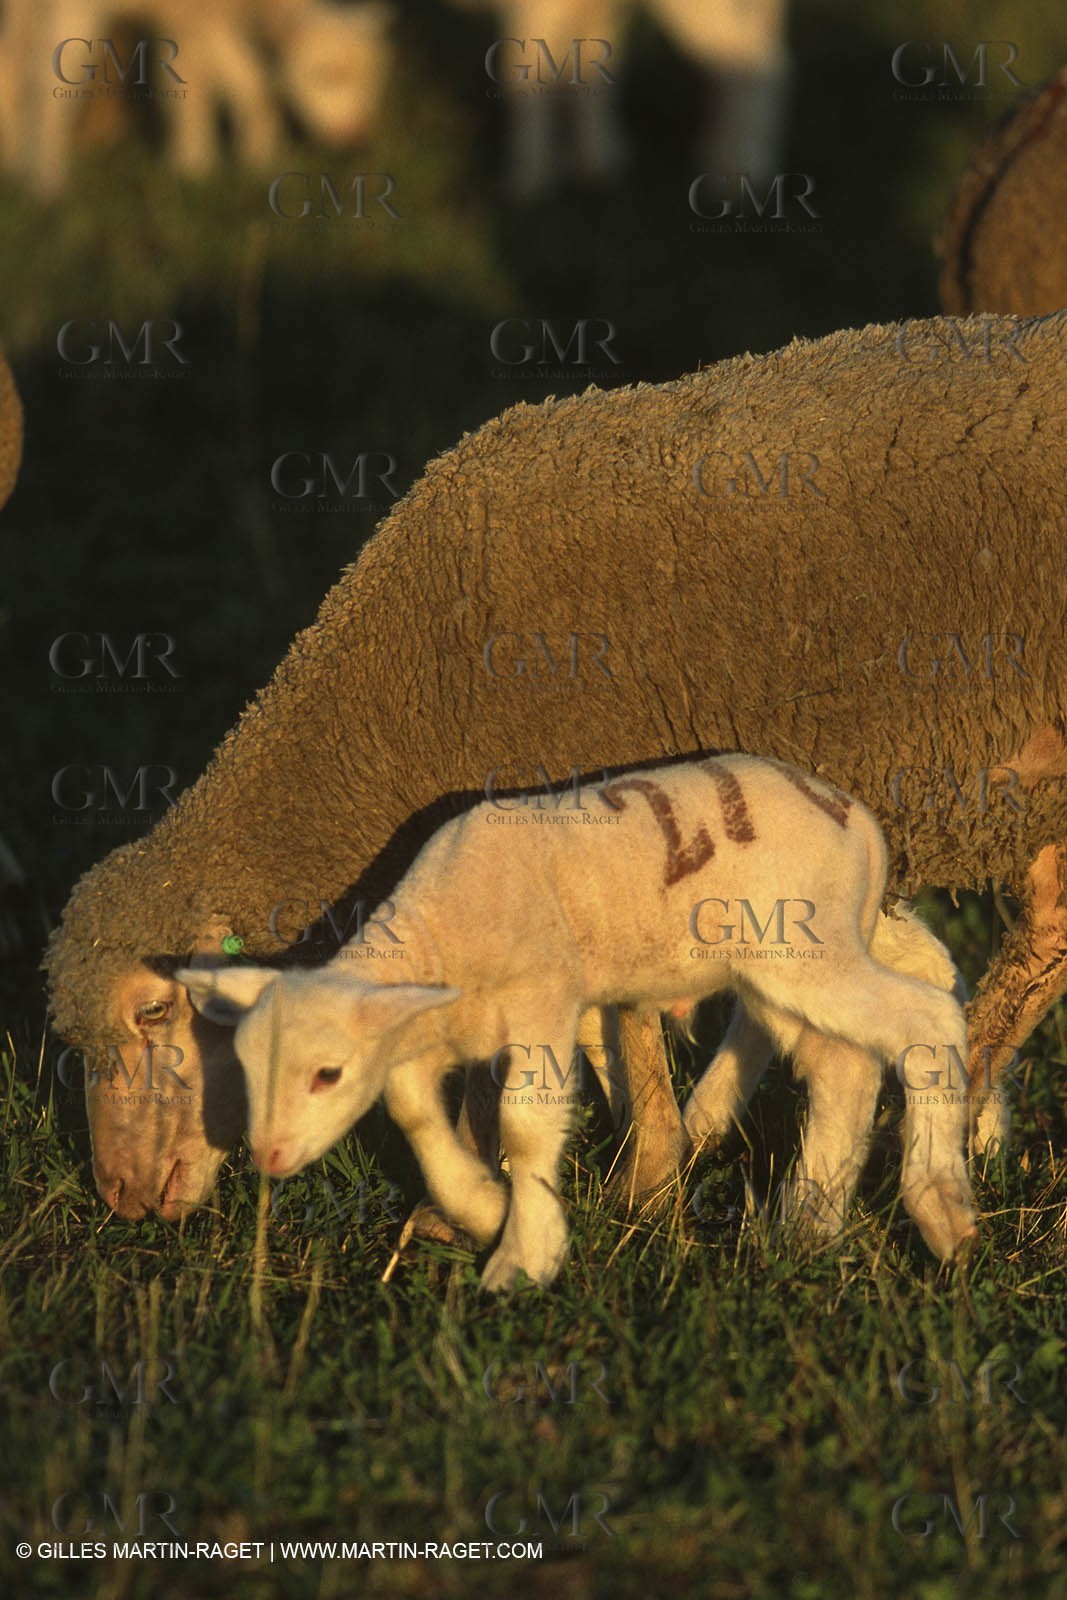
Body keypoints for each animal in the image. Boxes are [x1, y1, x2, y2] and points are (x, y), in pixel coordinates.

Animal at [177, 754, 977, 1286]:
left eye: (326, 1073)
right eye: (245, 1070)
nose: (268, 1156)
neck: (443, 928)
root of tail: (858, 823)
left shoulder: (543, 999)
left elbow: (527, 1124)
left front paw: (523, 1257)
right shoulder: (425, 1034)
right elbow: (415, 1117)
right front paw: (479, 1208)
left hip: (804, 948)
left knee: (927, 1018)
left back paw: (941, 1210)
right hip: (781, 972)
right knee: (844, 1065)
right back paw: (810, 1229)